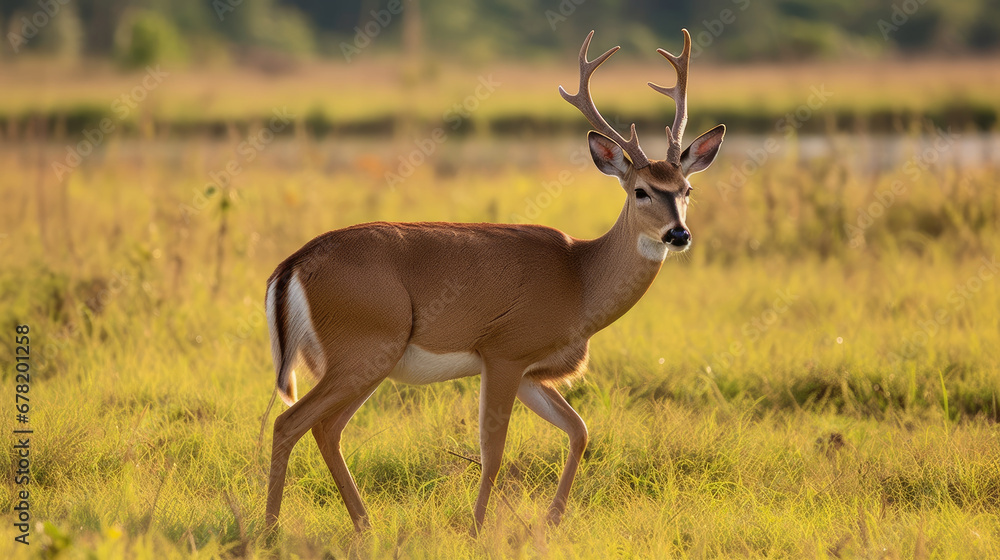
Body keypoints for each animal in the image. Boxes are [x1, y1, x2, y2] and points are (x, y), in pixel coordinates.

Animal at [262, 29, 724, 532]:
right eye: (640, 190)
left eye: (687, 189)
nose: (678, 234)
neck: (580, 280)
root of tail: (293, 263)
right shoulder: (504, 350)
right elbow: (493, 450)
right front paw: (477, 528)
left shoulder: (531, 371)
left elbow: (579, 430)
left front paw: (551, 522)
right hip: (365, 346)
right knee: (294, 422)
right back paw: (272, 529)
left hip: (361, 357)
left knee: (324, 428)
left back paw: (362, 525)